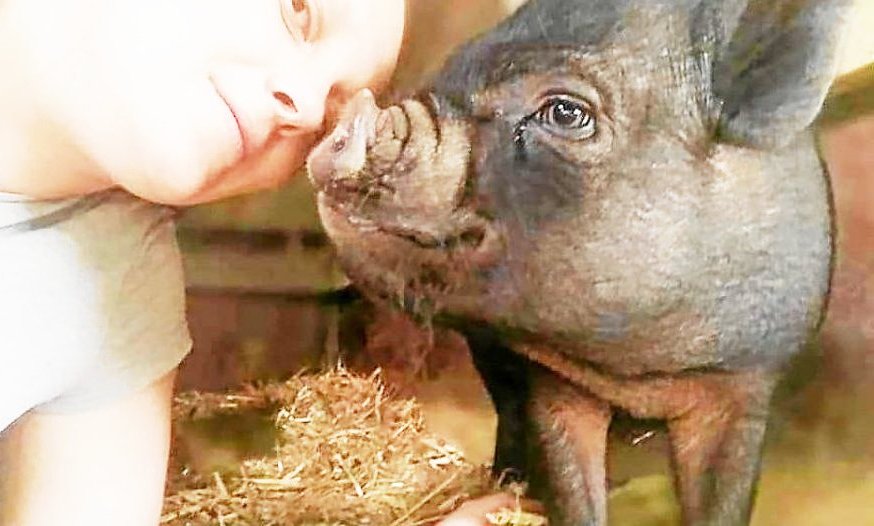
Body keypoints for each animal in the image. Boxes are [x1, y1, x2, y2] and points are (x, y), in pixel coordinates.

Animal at [307, 0, 850, 524]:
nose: (345, 118)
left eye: (566, 112)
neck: (642, 370)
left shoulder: (748, 382)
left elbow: (724, 500)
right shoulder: (551, 384)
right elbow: (570, 483)